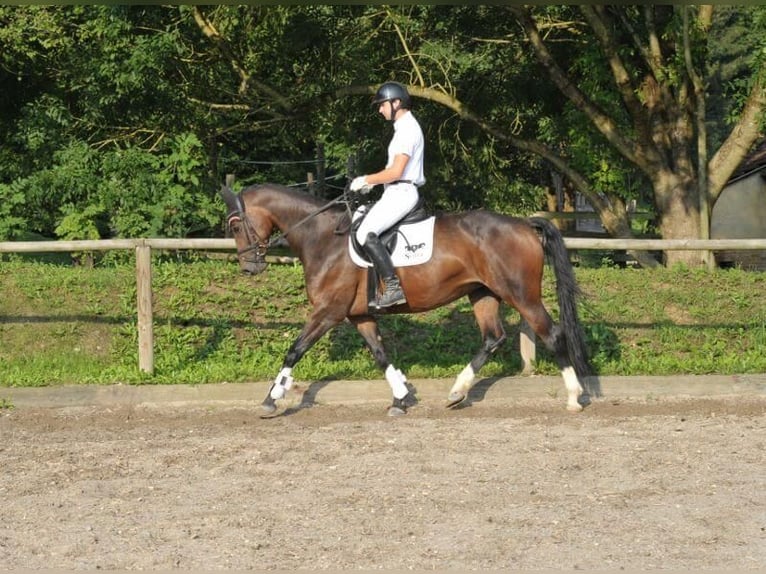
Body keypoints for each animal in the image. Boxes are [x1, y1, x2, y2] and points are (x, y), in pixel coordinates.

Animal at [222, 184, 592, 418]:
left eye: (236, 225)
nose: (249, 267)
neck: (323, 237)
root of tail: (524, 224)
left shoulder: (327, 312)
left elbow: (294, 350)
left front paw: (272, 398)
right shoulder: (360, 316)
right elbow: (381, 354)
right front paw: (400, 398)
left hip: (521, 294)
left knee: (552, 334)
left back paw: (574, 397)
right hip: (482, 292)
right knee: (493, 338)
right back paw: (457, 392)